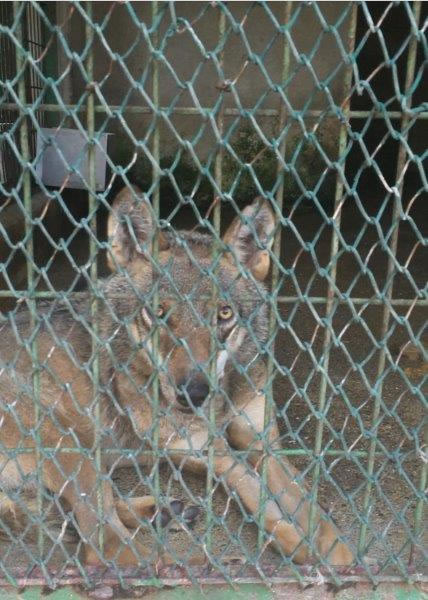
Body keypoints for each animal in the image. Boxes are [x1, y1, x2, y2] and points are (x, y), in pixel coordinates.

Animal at [0, 186, 354, 568]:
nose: (193, 393)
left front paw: (334, 550)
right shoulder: (210, 452)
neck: (224, 397)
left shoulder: (261, 441)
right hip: (70, 438)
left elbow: (305, 503)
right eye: (158, 312)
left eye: (223, 313)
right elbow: (258, 494)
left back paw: (163, 511)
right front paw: (302, 546)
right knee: (107, 548)